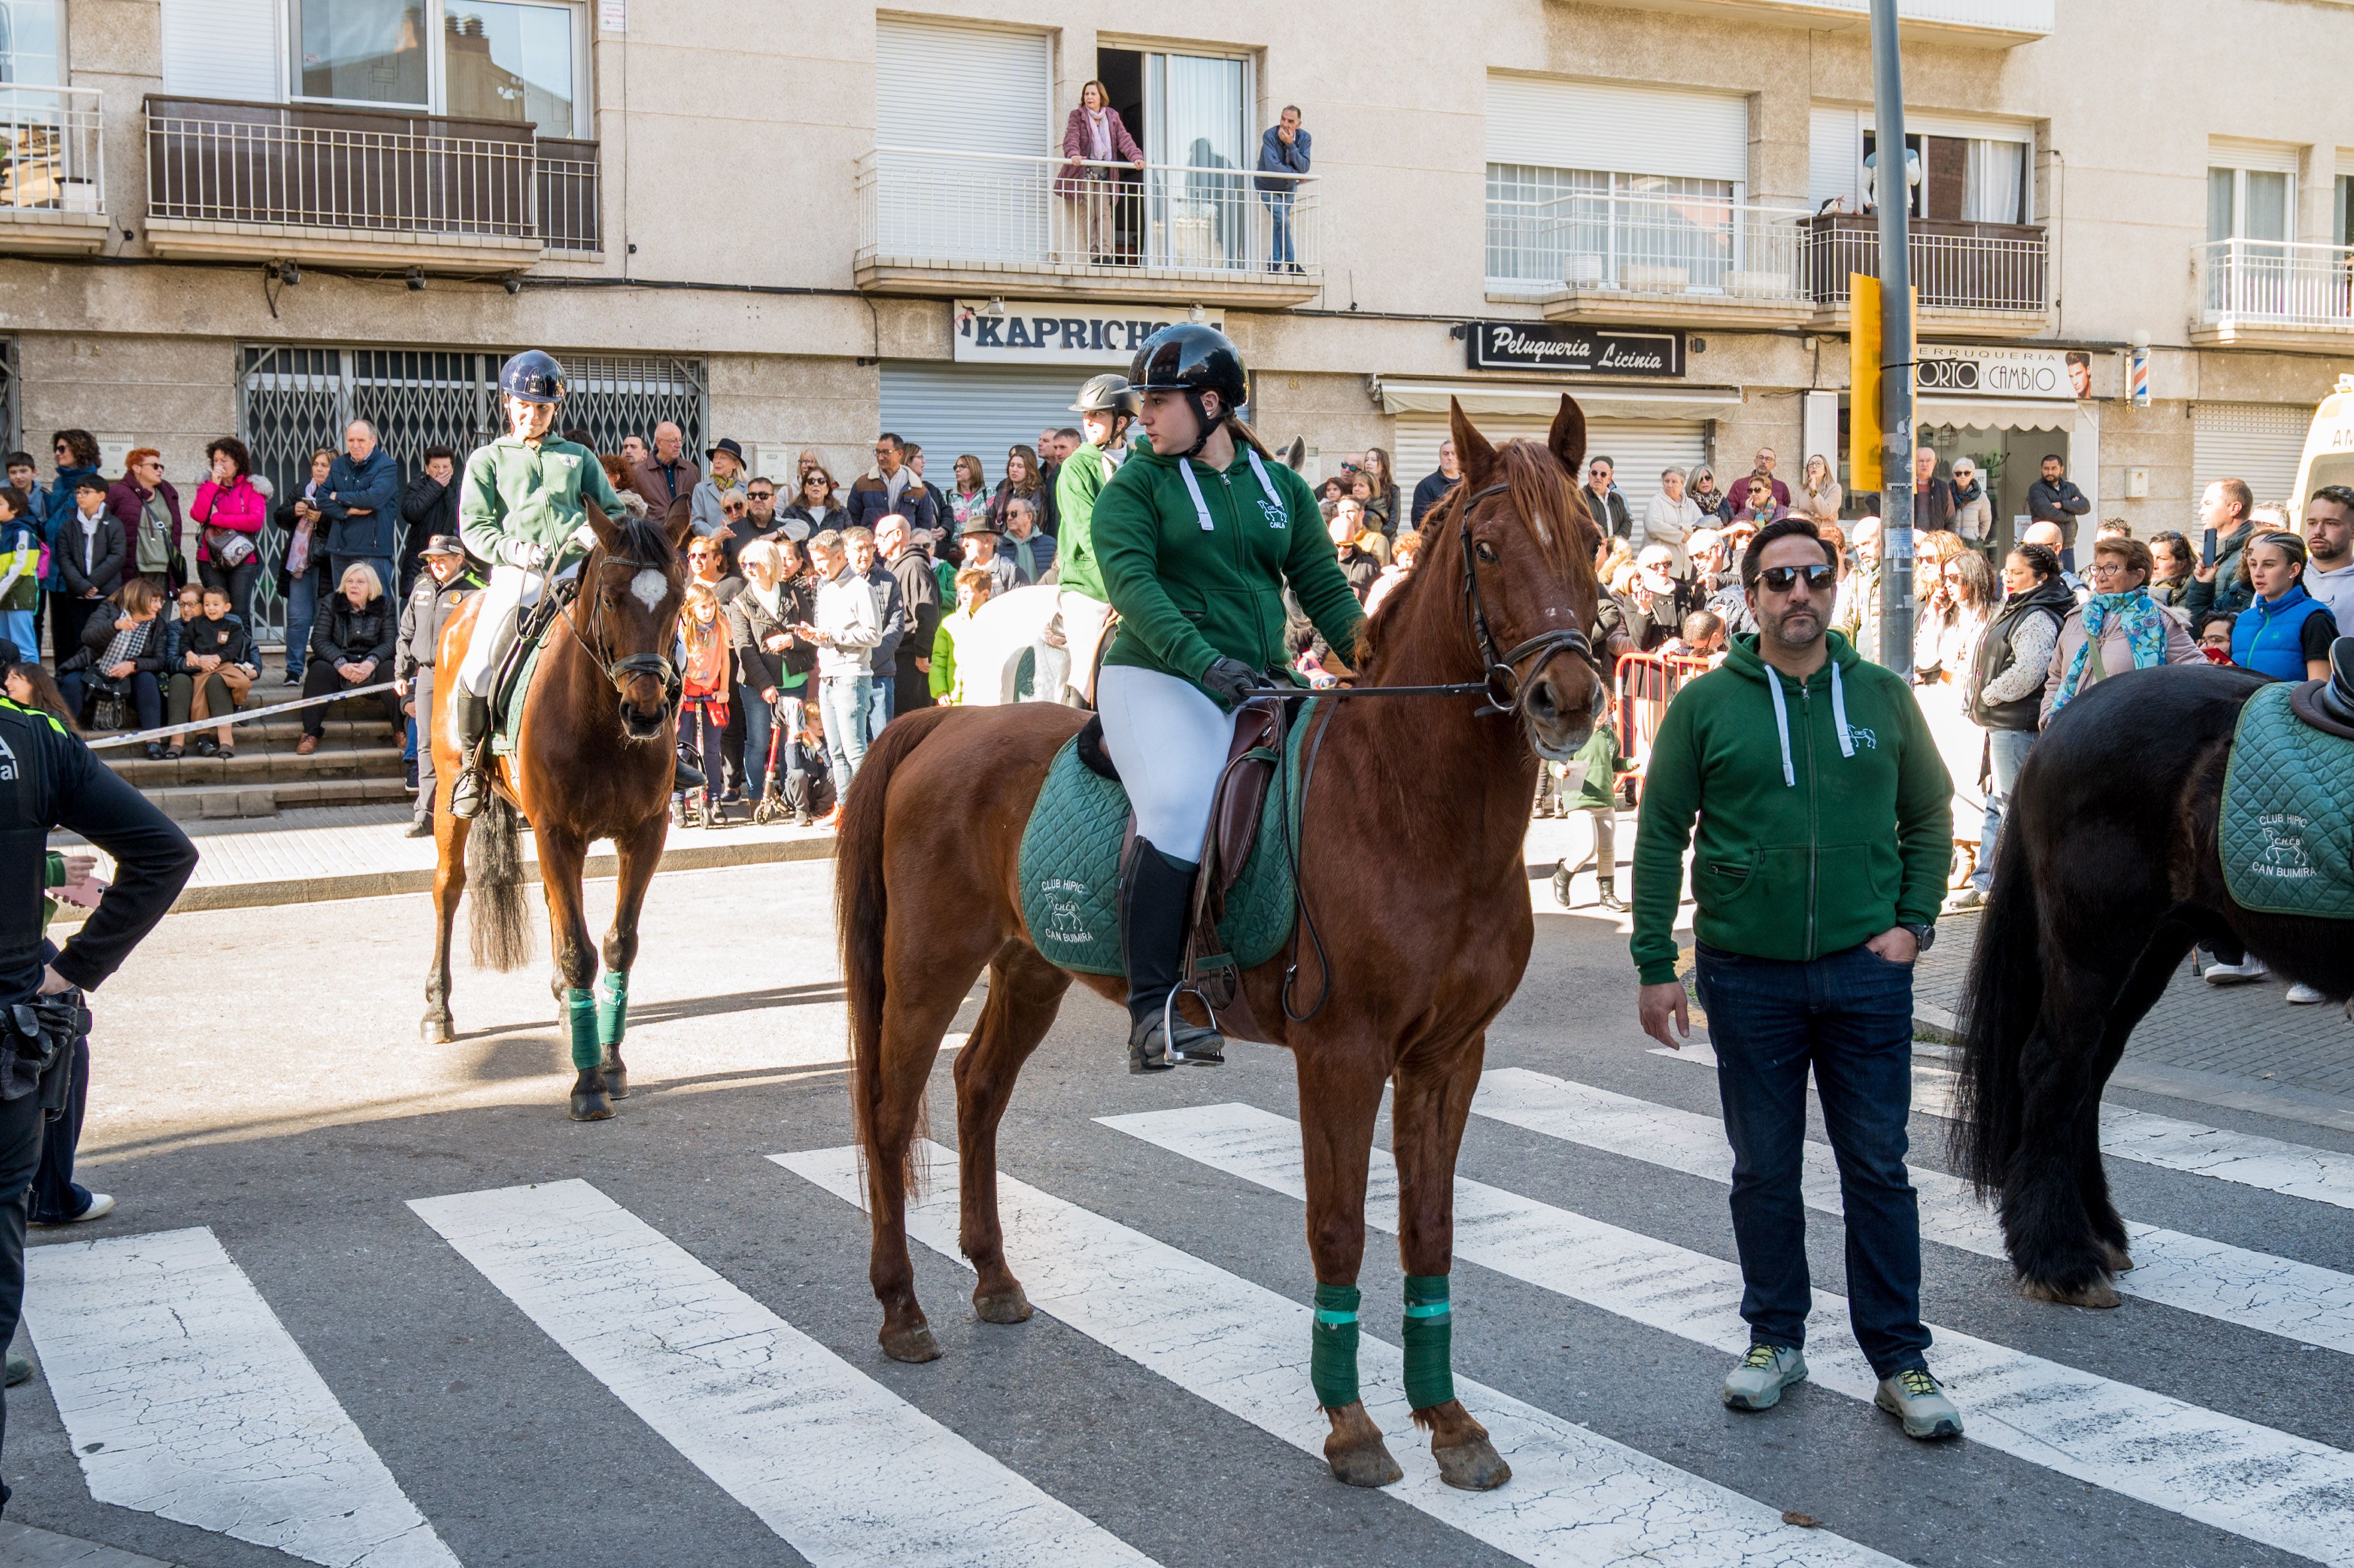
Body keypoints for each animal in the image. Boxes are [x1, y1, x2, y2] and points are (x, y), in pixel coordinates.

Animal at [423, 494, 687, 1116]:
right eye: (611, 598)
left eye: (679, 598)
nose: (646, 713)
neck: (602, 724)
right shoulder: (556, 833)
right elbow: (577, 950)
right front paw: (588, 1082)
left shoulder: (645, 834)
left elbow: (616, 946)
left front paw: (609, 1061)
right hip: (449, 796)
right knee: (448, 888)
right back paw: (438, 1008)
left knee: (551, 903)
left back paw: (569, 1006)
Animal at [838, 398, 1610, 1488]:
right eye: (1488, 545)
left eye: (1587, 539)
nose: (1567, 697)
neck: (1412, 804)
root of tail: (941, 725)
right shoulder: (1341, 1054)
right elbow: (1337, 1230)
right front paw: (1352, 1424)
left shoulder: (1448, 1056)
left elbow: (1429, 1231)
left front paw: (1449, 1422)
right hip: (924, 970)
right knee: (889, 1108)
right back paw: (902, 1306)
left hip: (1028, 968)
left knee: (976, 1089)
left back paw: (991, 1277)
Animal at [1949, 654, 2354, 1299]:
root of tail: (2061, 722)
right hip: (2095, 945)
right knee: (2052, 1065)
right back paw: (2058, 1256)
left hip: (2153, 947)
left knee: (2088, 1074)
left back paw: (2095, 1231)